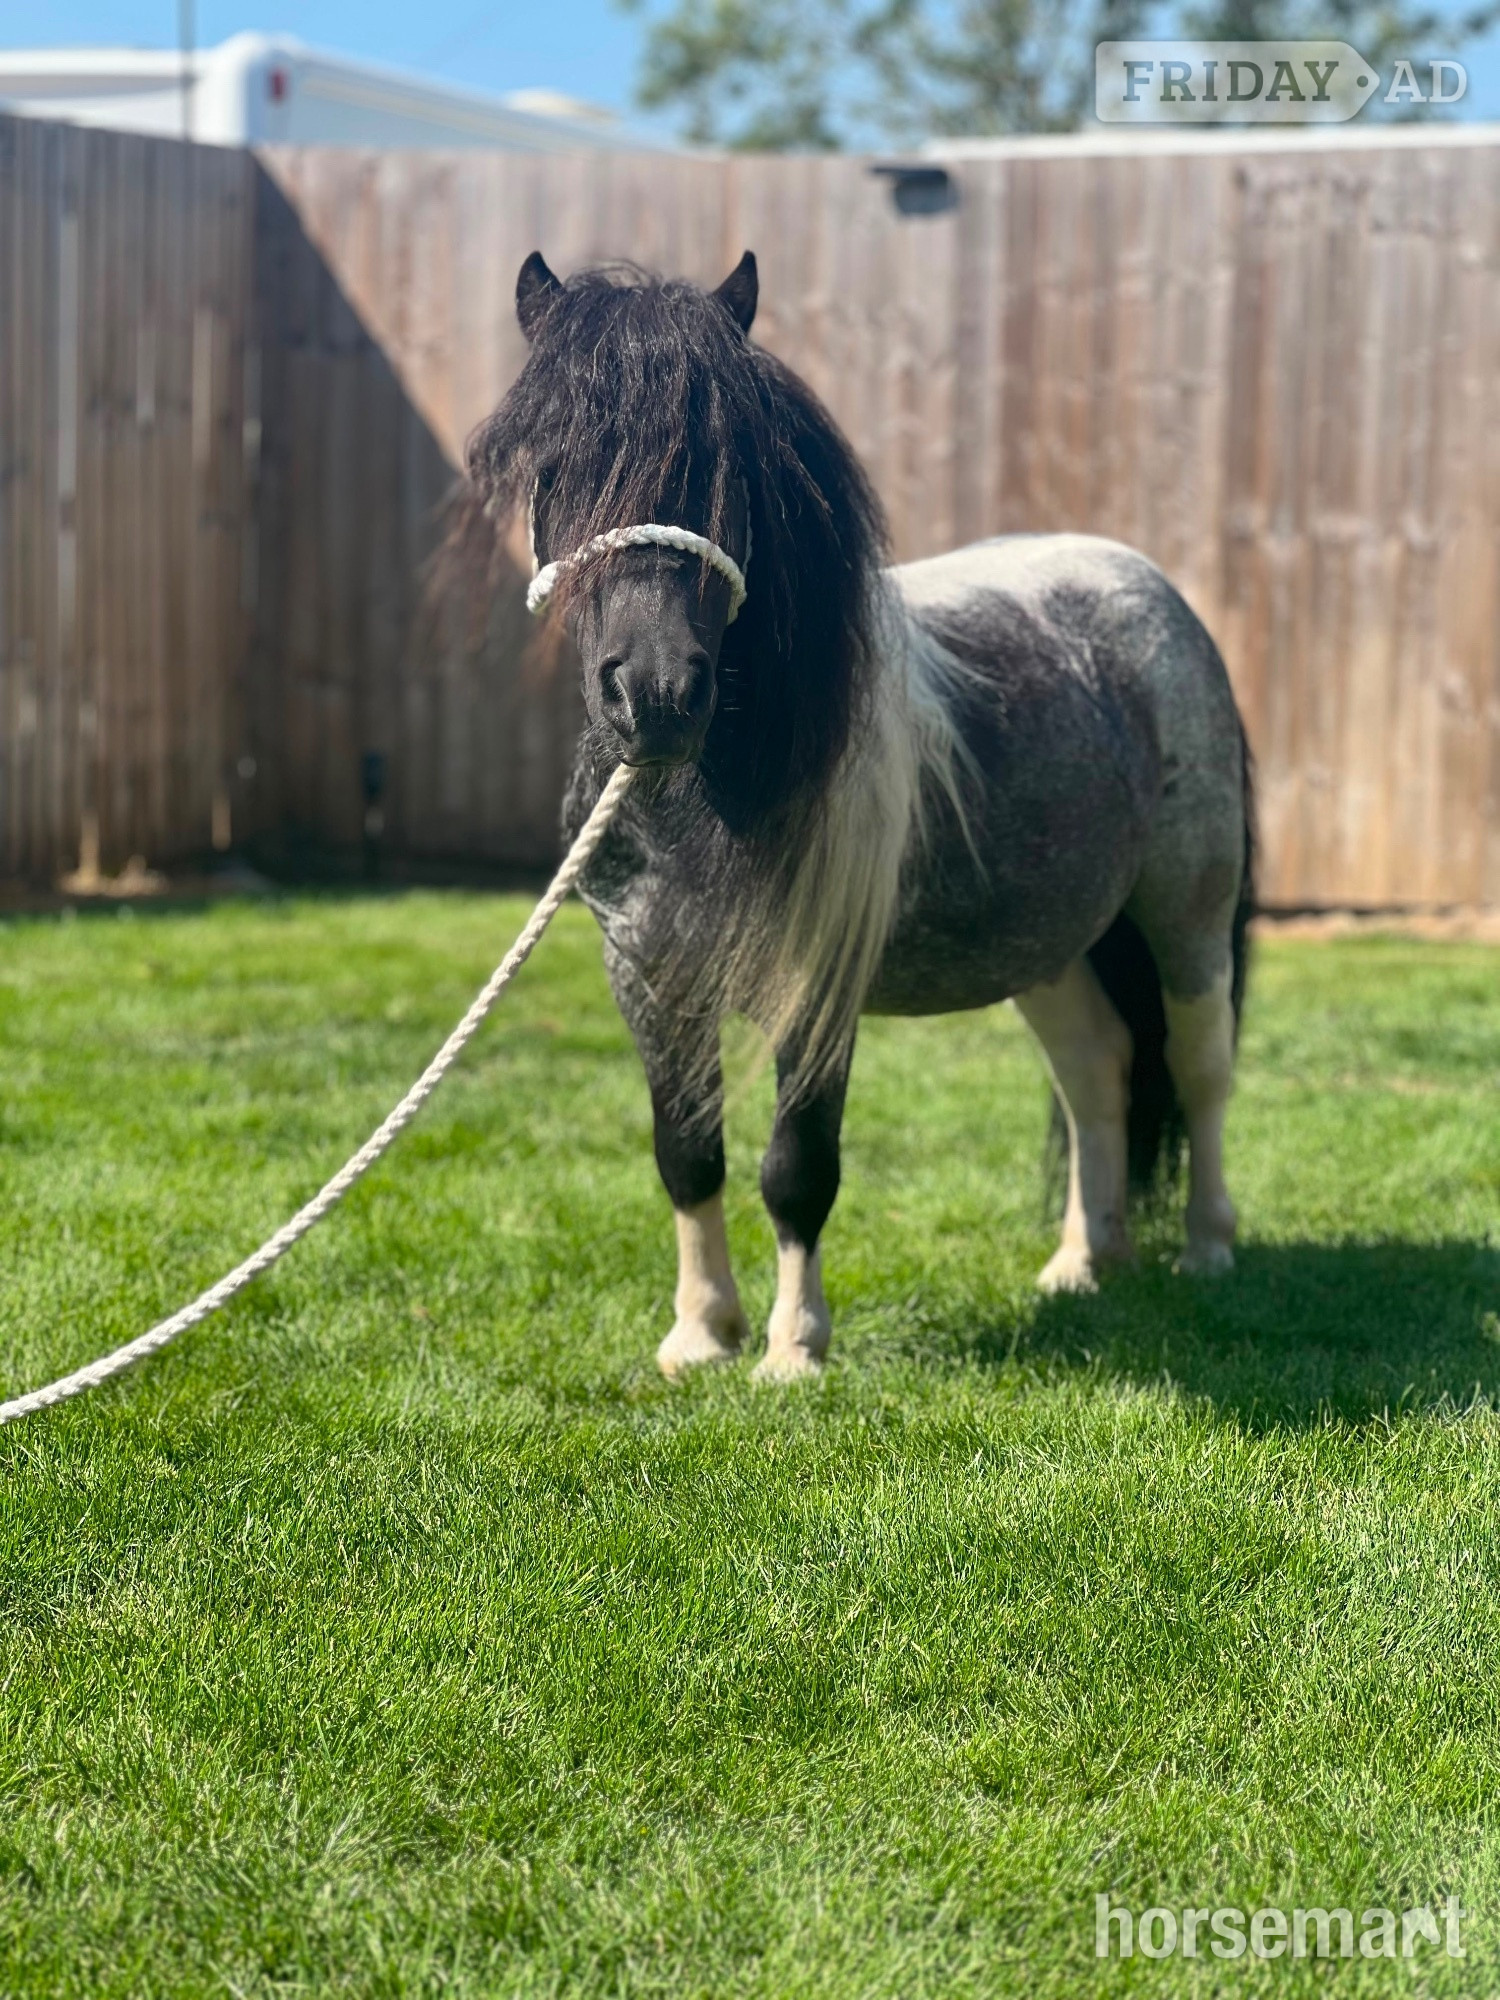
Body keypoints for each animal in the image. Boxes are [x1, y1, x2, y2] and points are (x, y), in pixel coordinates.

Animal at [464, 249, 1254, 1381]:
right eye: (557, 467)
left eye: (732, 470)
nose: (656, 696)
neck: (702, 798)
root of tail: (1146, 590)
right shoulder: (646, 972)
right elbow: (686, 1151)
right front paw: (700, 1334)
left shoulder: (819, 985)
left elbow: (797, 1165)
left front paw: (793, 1350)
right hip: (1049, 943)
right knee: (1096, 1070)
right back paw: (1081, 1263)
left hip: (1186, 914)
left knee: (1200, 1067)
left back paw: (1208, 1248)